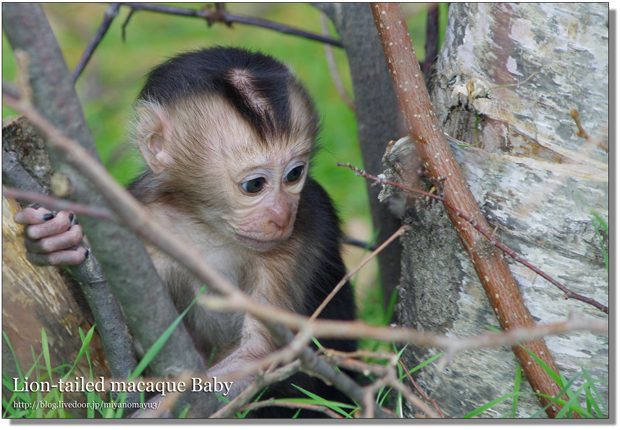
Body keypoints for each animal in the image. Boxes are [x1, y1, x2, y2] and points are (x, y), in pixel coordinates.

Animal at [15, 46, 354, 416]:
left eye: (295, 175)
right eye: (254, 185)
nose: (281, 216)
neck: (207, 223)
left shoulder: (306, 225)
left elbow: (261, 354)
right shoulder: (142, 216)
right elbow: (121, 330)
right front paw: (55, 242)